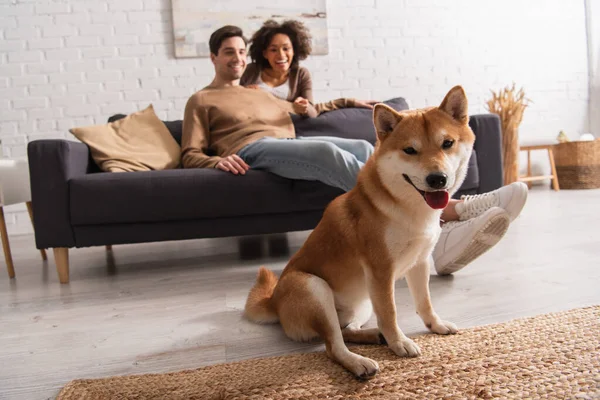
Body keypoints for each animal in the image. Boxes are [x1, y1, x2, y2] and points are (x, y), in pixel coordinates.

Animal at [244, 84, 474, 378]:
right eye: (410, 150)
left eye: (447, 143)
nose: (437, 179)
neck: (406, 208)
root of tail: (273, 301)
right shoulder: (381, 271)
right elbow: (390, 313)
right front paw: (399, 343)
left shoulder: (419, 262)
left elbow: (425, 302)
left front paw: (435, 325)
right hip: (315, 288)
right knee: (333, 347)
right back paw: (360, 362)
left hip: (363, 302)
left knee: (347, 330)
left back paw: (374, 336)